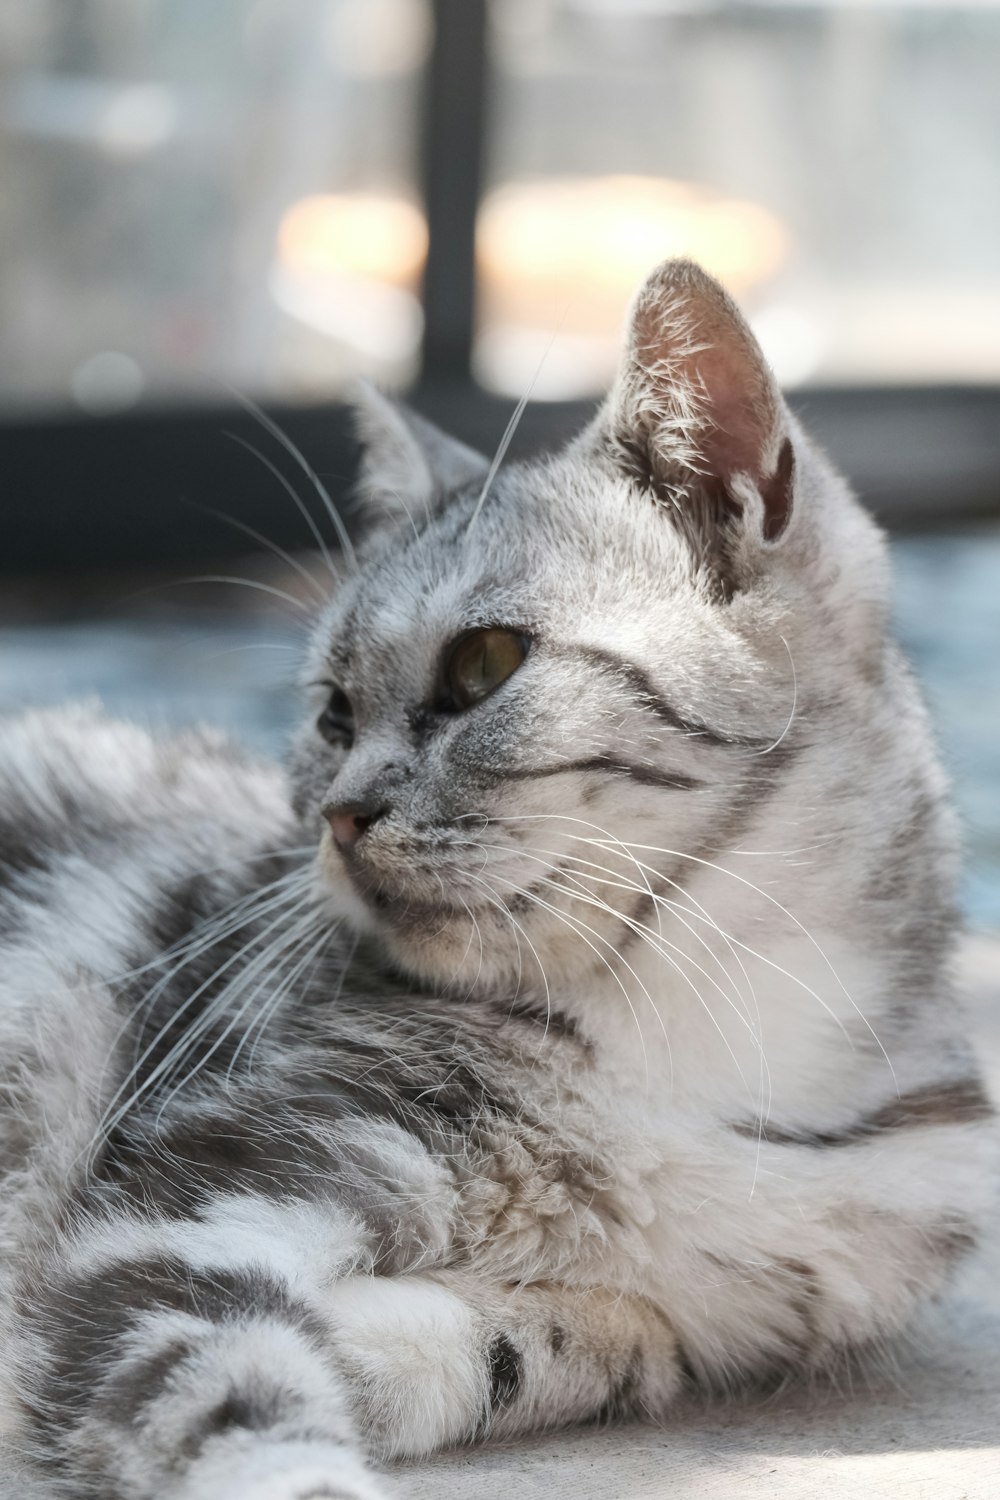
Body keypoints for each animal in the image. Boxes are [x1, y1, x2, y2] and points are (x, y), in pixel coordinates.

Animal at [0, 261, 995, 1500]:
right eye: (331, 714)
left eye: (484, 664)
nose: (336, 812)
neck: (695, 1045)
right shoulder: (179, 1212)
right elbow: (238, 1405)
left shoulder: (750, 1300)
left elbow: (548, 1343)